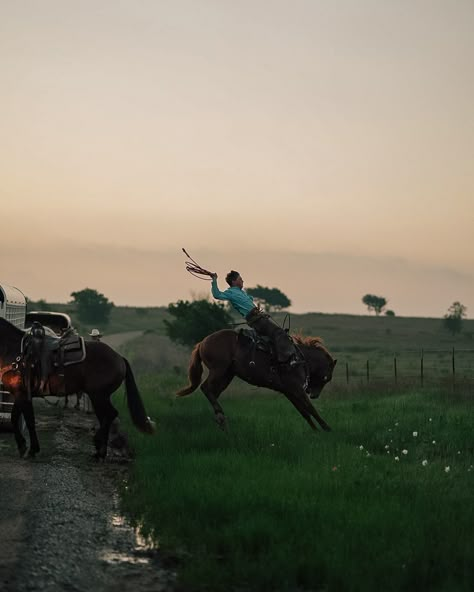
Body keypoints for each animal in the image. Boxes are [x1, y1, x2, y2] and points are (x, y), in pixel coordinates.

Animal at [0, 316, 154, 460]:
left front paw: (30, 449)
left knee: (110, 414)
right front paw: (24, 447)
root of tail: (119, 358)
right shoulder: (19, 395)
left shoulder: (22, 394)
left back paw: (98, 444)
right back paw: (100, 451)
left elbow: (26, 421)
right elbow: (17, 418)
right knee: (105, 416)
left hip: (99, 395)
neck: (16, 351)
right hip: (99, 397)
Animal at [176, 328, 336, 430]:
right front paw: (327, 428)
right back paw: (221, 416)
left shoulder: (290, 392)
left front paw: (316, 430)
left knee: (213, 392)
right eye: (327, 377)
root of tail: (202, 343)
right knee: (206, 388)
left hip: (227, 375)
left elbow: (304, 412)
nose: (314, 394)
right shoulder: (297, 390)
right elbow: (311, 409)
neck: (298, 360)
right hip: (219, 370)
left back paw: (221, 419)